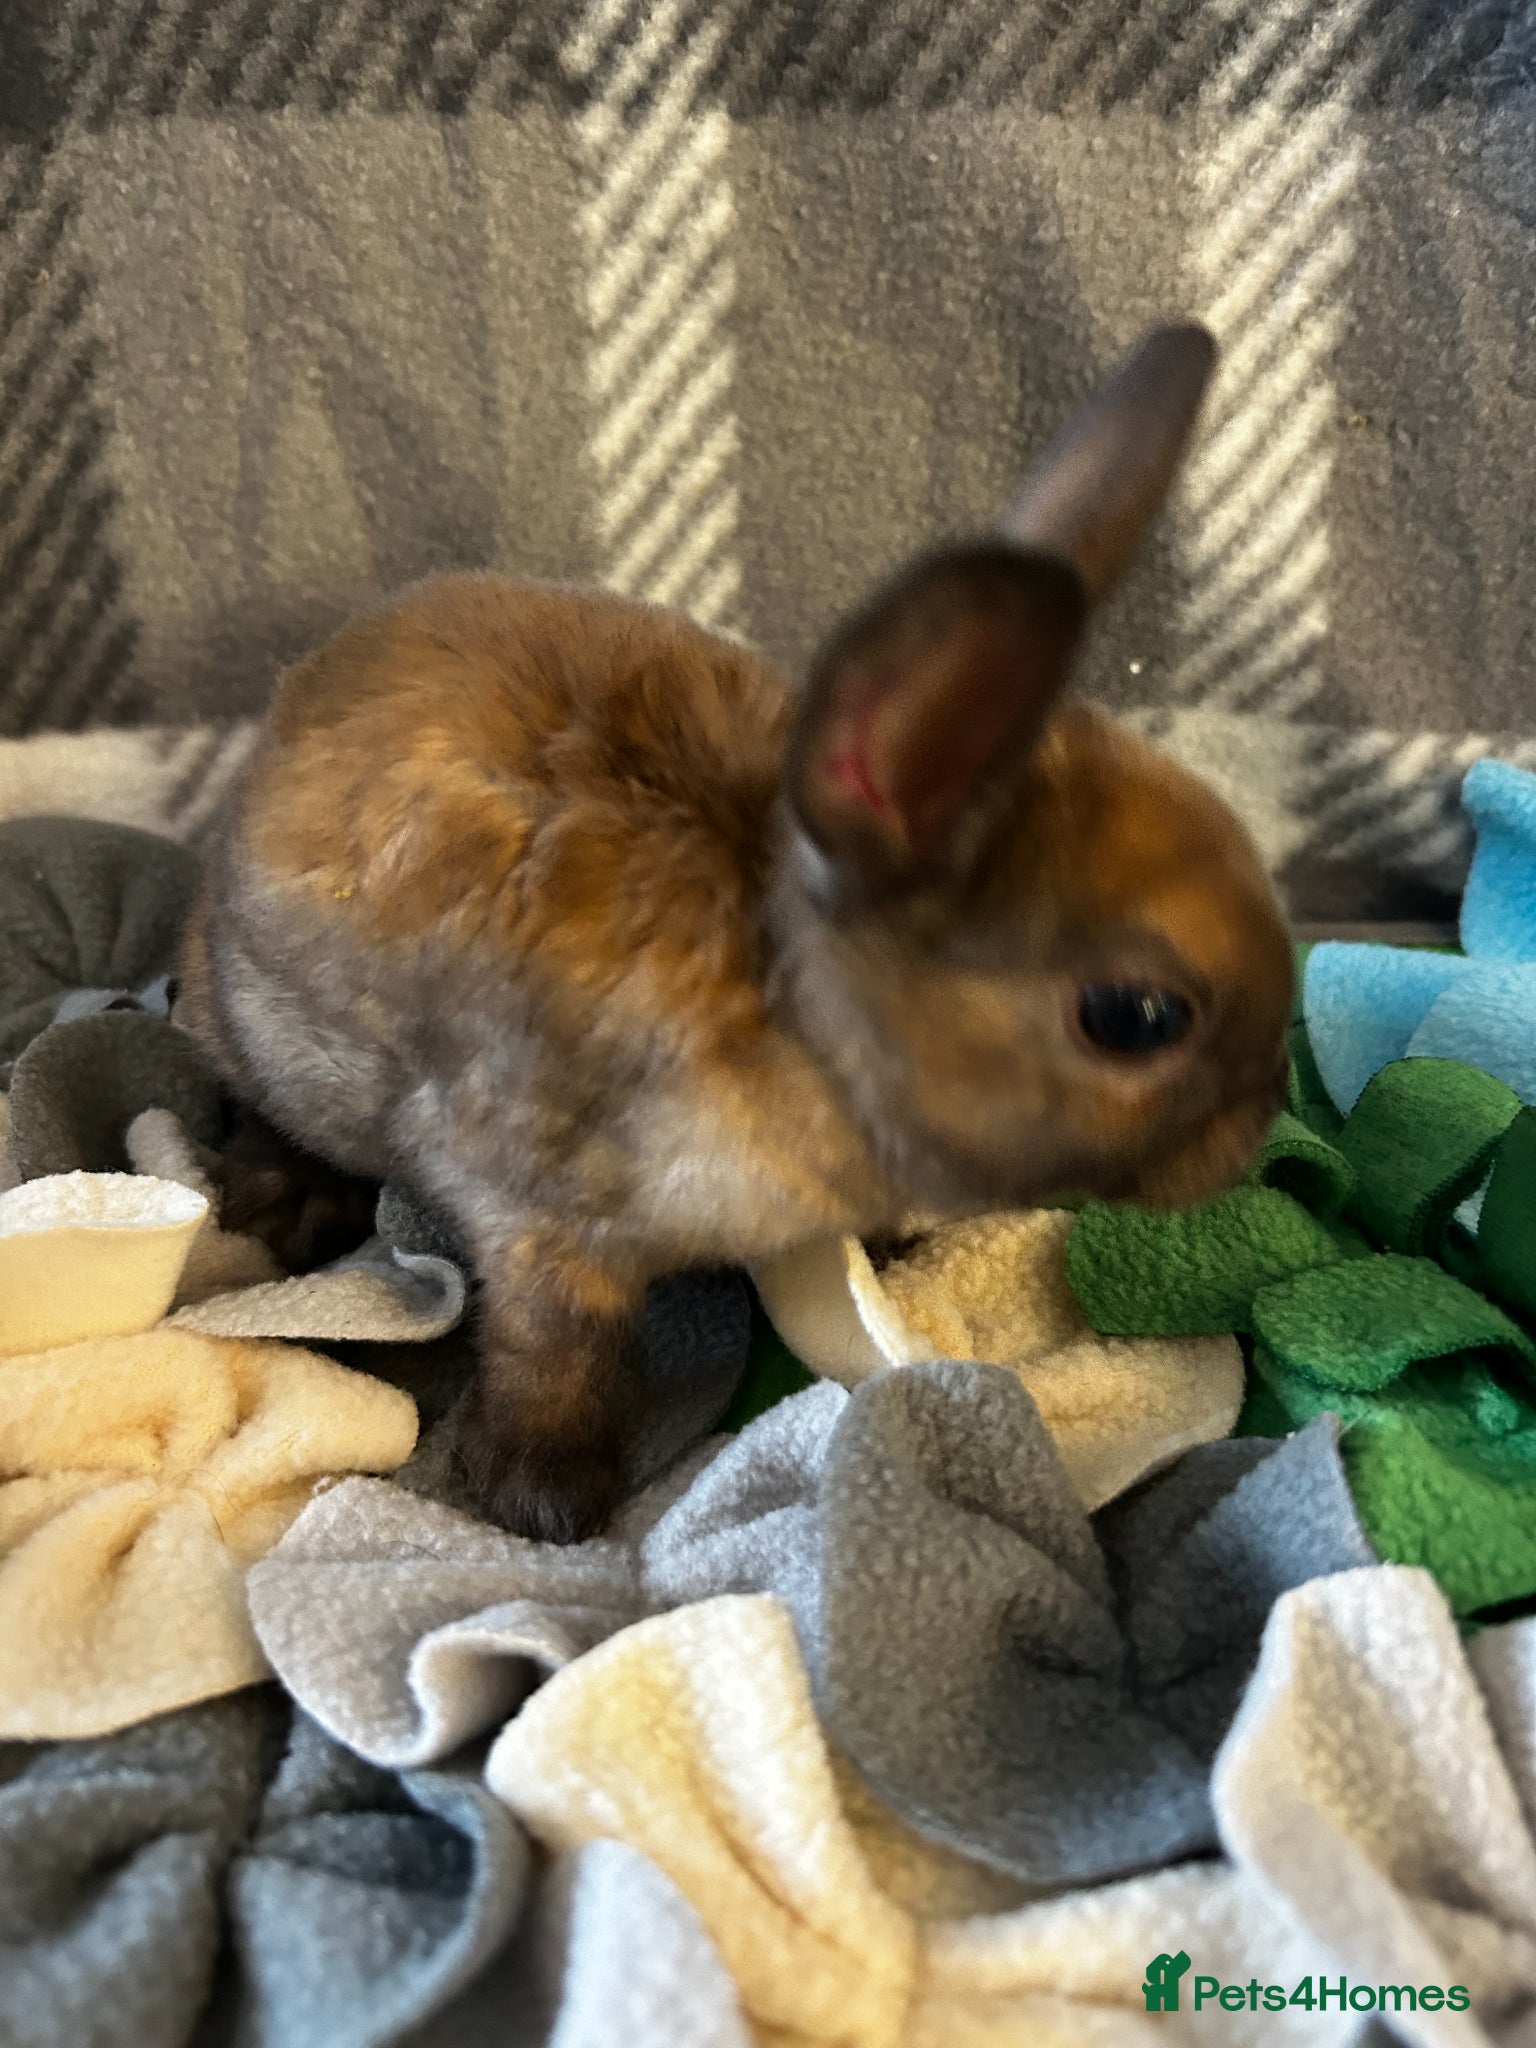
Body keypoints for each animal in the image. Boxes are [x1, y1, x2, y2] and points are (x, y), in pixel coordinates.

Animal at [178, 322, 1293, 1544]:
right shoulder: (538, 1215)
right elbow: (555, 1343)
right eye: (1135, 1017)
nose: (1254, 1132)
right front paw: (542, 1496)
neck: (787, 996)